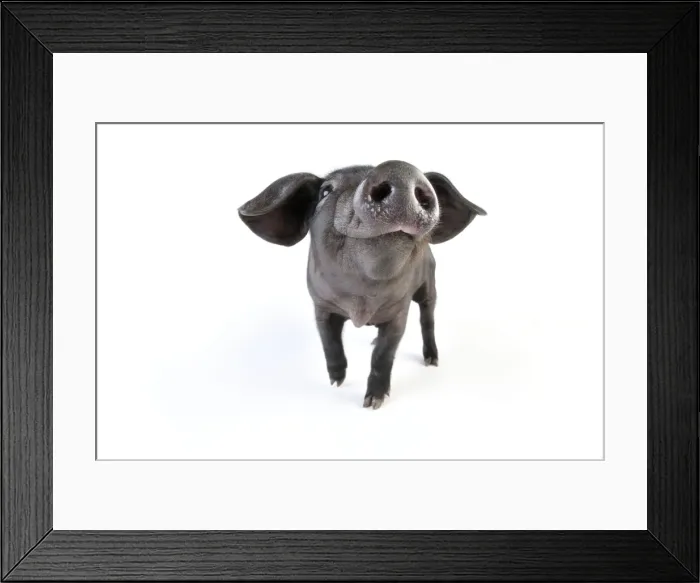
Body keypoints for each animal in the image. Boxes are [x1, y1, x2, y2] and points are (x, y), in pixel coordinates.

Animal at [238, 160, 486, 409]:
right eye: (325, 191)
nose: (400, 169)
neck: (361, 300)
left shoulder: (399, 310)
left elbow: (383, 355)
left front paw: (372, 403)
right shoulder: (321, 305)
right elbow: (329, 342)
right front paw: (336, 382)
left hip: (429, 284)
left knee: (428, 319)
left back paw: (432, 360)